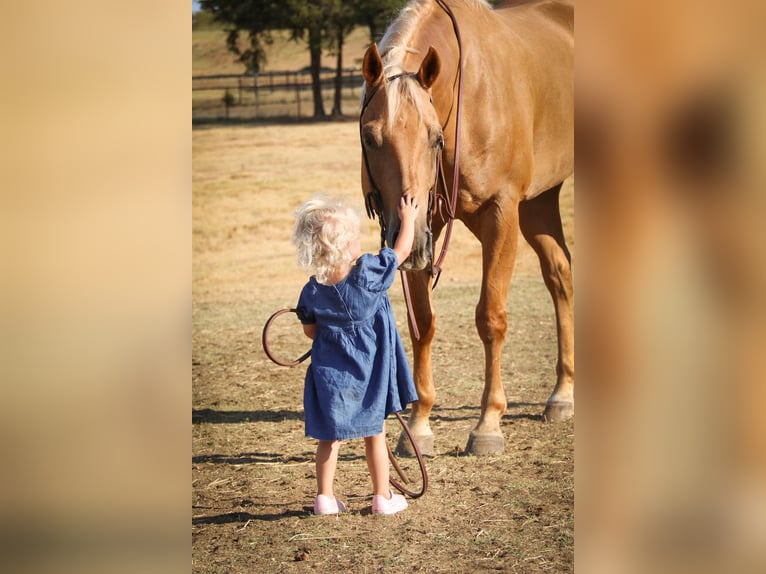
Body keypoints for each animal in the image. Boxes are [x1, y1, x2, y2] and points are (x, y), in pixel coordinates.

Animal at [358, 1, 568, 460]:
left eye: (435, 138)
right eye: (369, 137)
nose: (408, 238)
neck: (469, 98)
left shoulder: (501, 213)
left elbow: (491, 316)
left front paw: (488, 423)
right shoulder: (425, 228)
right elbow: (422, 321)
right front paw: (418, 425)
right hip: (541, 203)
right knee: (561, 276)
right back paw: (563, 394)